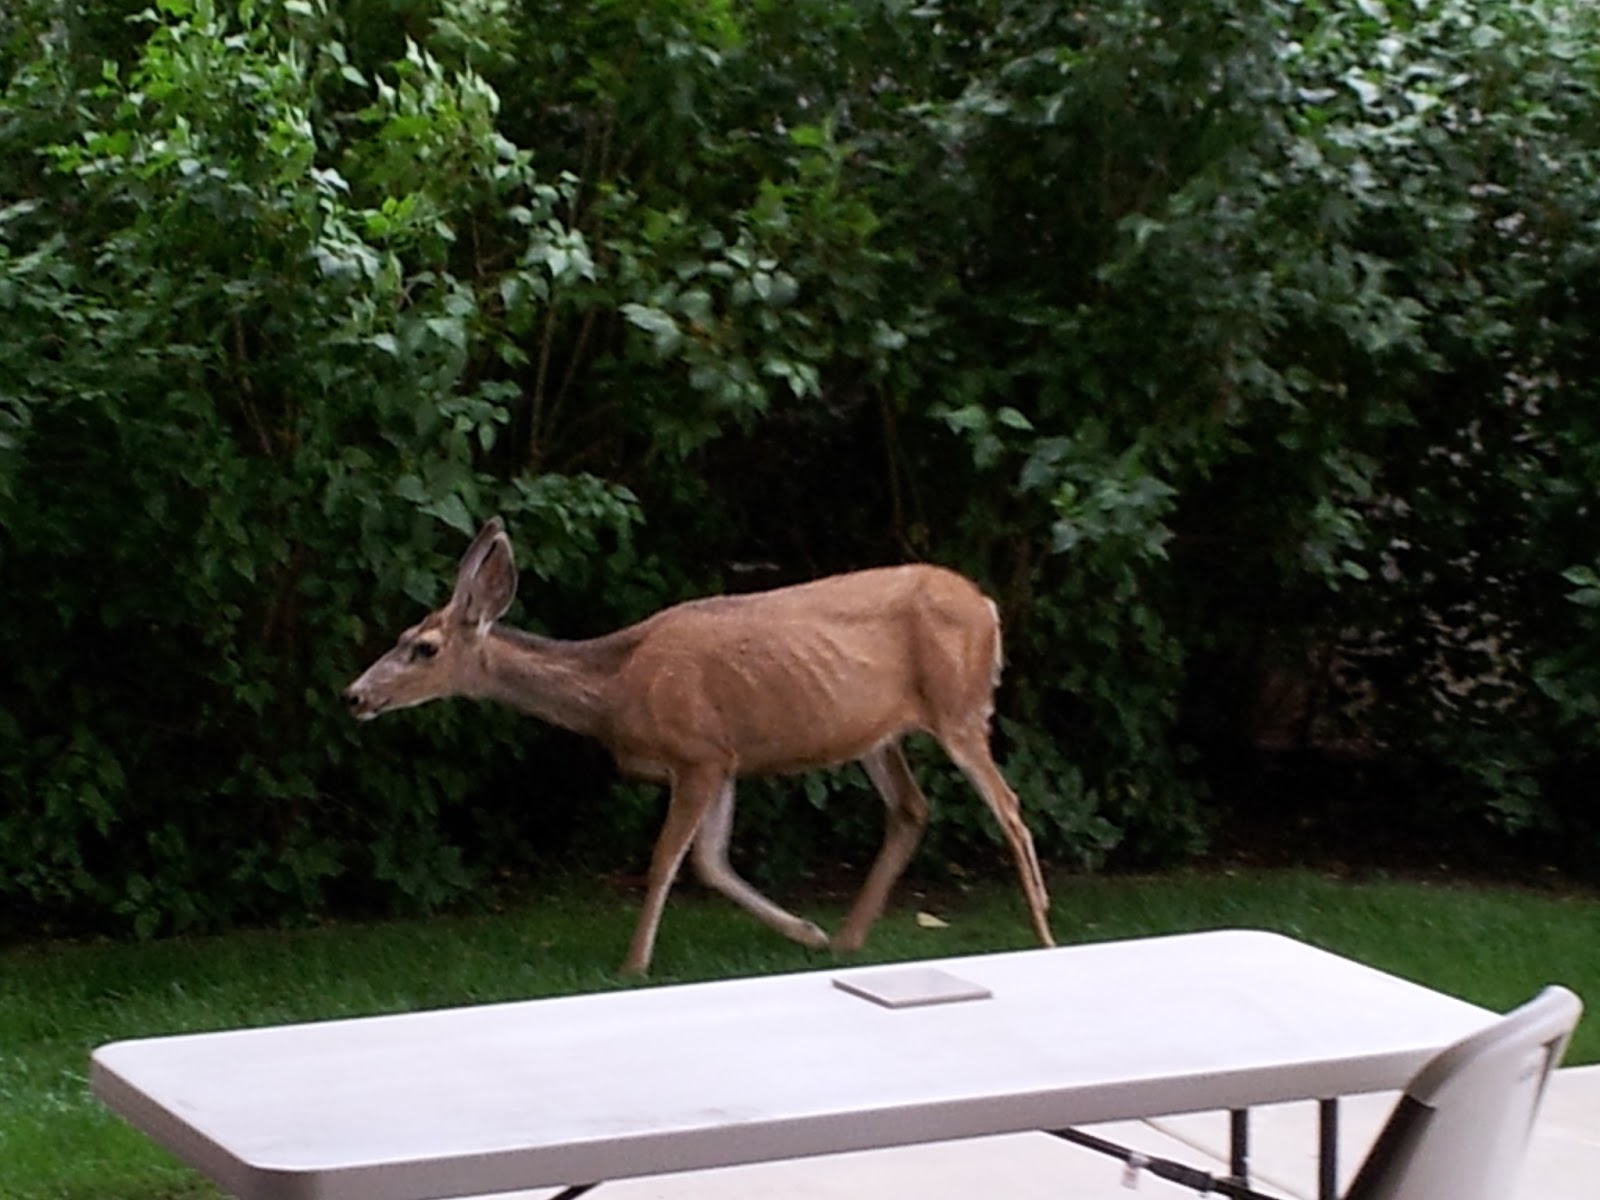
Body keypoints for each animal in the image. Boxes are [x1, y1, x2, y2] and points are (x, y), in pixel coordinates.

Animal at [342, 517, 1055, 975]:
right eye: (403, 636)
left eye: (423, 648)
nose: (353, 695)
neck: (614, 689)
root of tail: (989, 606)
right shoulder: (725, 758)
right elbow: (711, 862)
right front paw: (807, 930)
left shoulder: (698, 752)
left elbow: (666, 860)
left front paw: (633, 966)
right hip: (877, 733)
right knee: (911, 809)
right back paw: (848, 940)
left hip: (960, 707)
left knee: (1011, 808)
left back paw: (1044, 933)